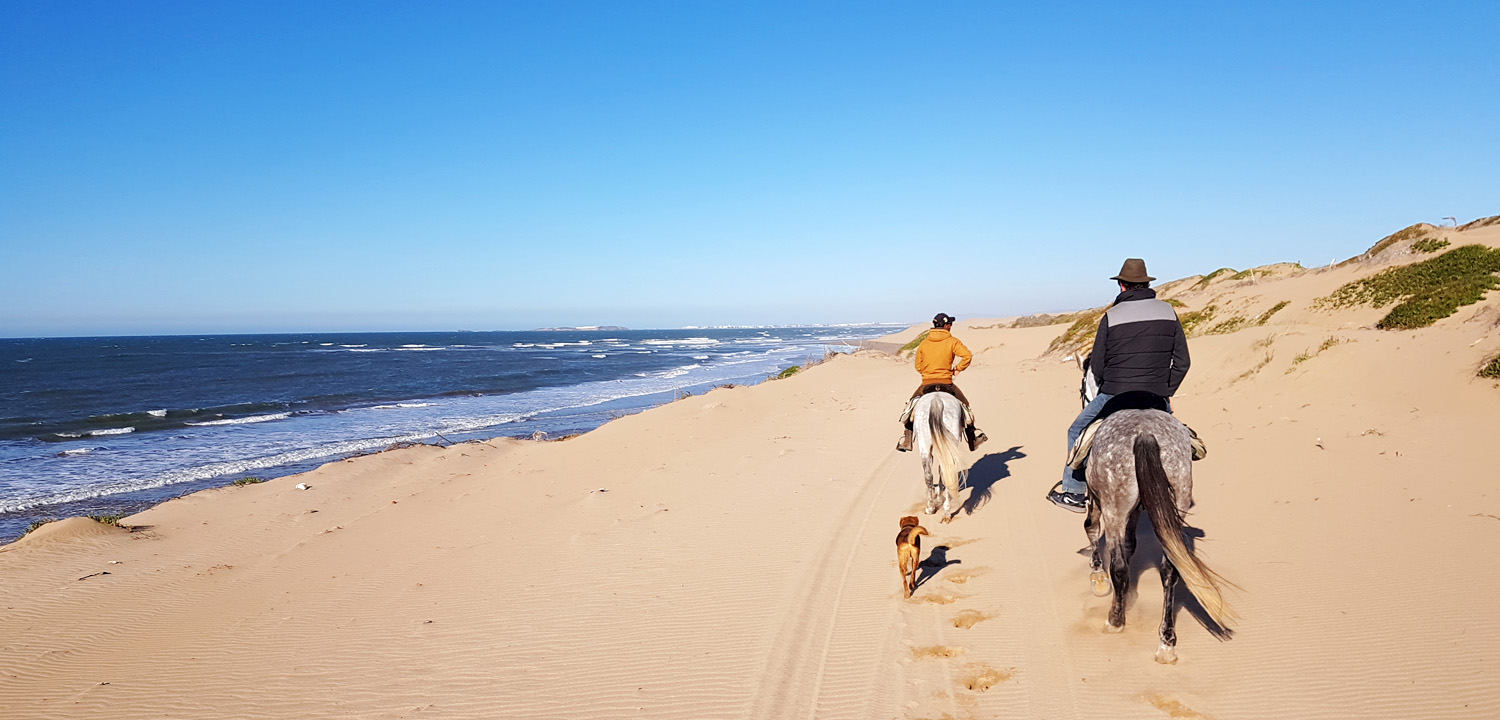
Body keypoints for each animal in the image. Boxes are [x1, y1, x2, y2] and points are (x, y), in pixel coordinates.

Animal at [912, 391, 965, 522]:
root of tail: (937, 400)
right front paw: (940, 497)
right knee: (946, 472)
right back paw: (945, 512)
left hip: (925, 443)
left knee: (929, 475)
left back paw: (931, 508)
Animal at [1083, 408, 1237, 664]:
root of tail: (1146, 433)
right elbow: (1130, 544)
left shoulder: (1096, 498)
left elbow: (1091, 528)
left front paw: (1098, 577)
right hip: (1179, 495)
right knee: (1171, 568)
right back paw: (1166, 642)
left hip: (1114, 506)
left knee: (1118, 566)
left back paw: (1115, 621)